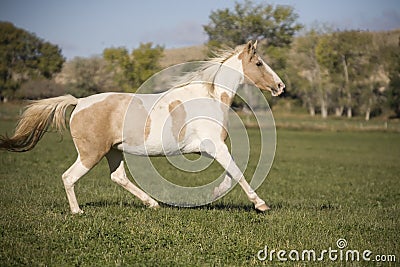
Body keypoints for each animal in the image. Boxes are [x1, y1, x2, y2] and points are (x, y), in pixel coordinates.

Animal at [0, 40, 284, 215]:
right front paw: (261, 205)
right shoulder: (214, 146)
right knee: (68, 177)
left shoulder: (209, 149)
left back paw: (153, 204)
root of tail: (79, 102)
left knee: (118, 177)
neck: (210, 96)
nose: (280, 86)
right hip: (91, 154)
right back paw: (77, 211)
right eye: (259, 63)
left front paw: (215, 193)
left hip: (114, 151)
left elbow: (232, 173)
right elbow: (237, 172)